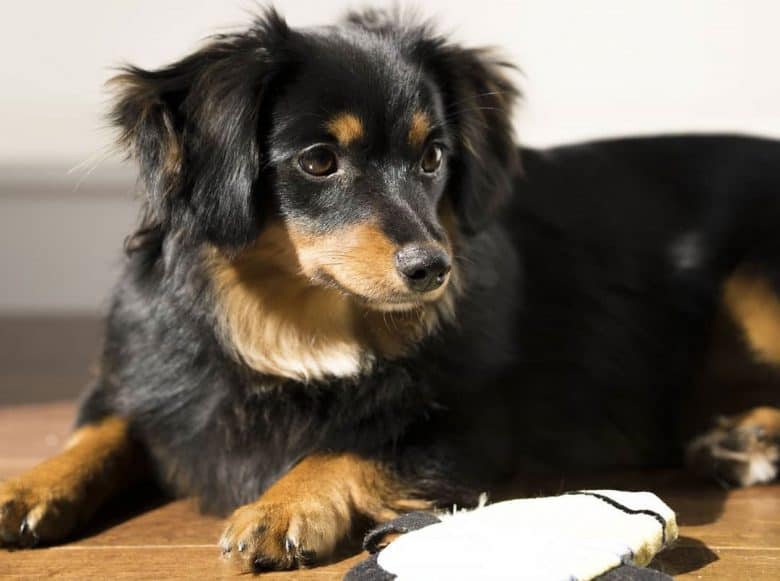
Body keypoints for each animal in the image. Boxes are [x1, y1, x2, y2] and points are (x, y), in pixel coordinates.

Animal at [1, 7, 780, 572]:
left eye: (433, 155)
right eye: (319, 161)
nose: (433, 269)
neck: (295, 323)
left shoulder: (473, 422)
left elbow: (363, 436)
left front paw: (282, 505)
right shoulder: (146, 377)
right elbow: (103, 429)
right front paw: (29, 484)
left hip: (757, 282)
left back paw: (747, 441)